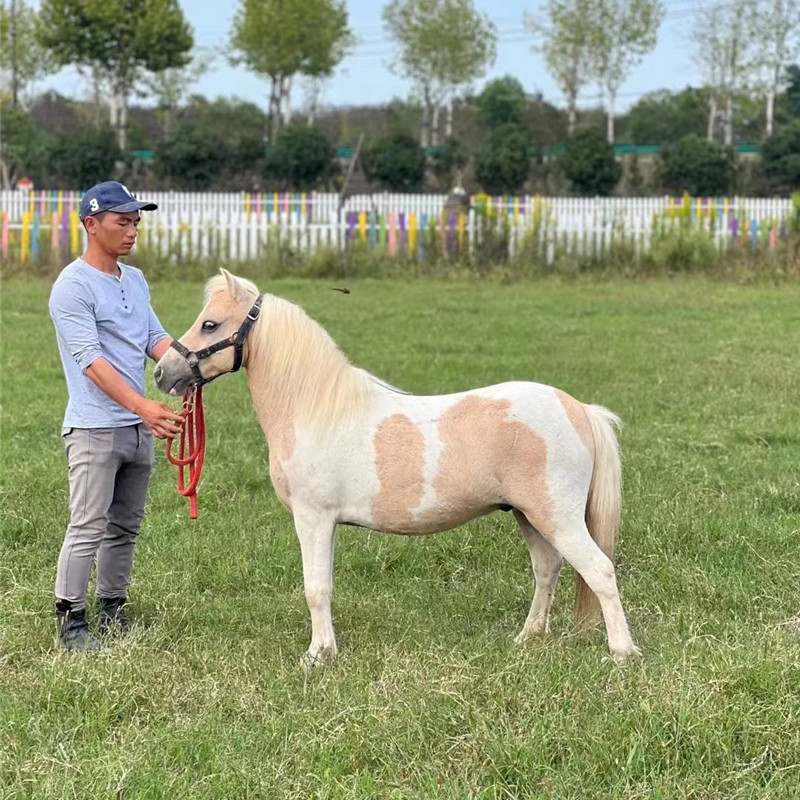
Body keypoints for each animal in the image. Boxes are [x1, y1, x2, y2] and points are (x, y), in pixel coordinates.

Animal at [156, 272, 640, 664]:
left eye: (210, 324)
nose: (163, 372)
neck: (315, 408)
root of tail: (580, 409)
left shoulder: (312, 519)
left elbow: (315, 589)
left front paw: (316, 657)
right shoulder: (327, 524)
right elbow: (325, 586)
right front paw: (327, 650)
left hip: (557, 517)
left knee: (599, 571)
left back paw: (622, 652)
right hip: (529, 515)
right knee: (547, 570)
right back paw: (527, 638)